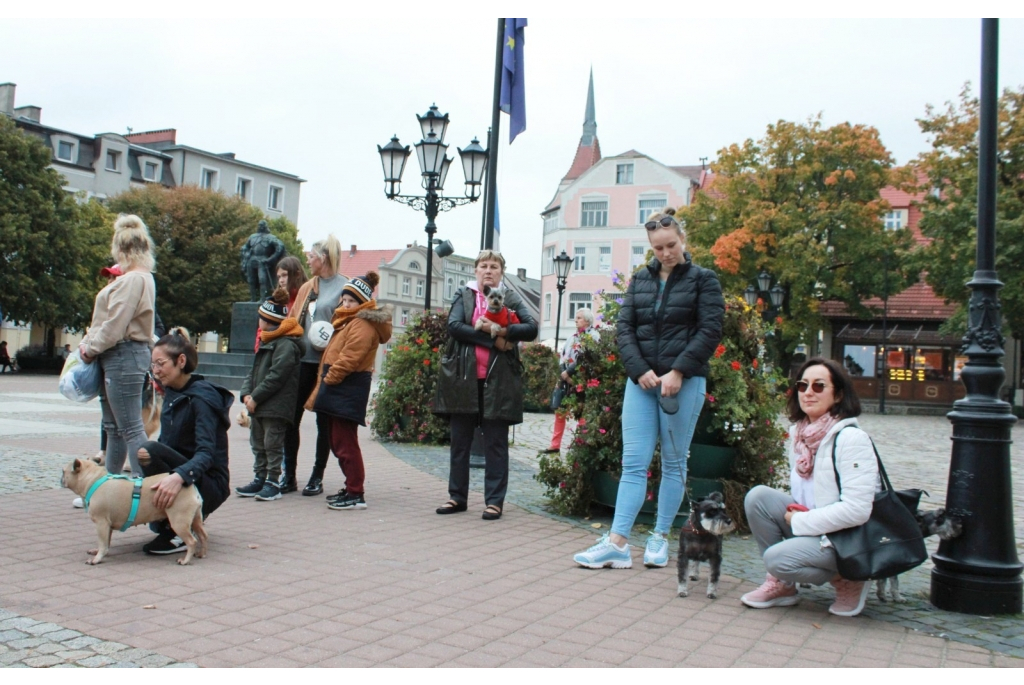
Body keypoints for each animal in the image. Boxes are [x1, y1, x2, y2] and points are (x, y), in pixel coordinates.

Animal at [60, 456, 206, 565]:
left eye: (63, 471)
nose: (60, 479)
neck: (92, 479)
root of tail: (190, 487)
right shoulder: (107, 526)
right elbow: (106, 542)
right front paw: (99, 552)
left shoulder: (101, 524)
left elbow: (102, 542)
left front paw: (96, 559)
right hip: (195, 520)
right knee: (203, 536)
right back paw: (201, 554)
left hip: (178, 522)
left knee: (192, 541)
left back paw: (185, 560)